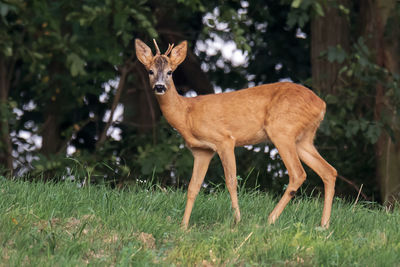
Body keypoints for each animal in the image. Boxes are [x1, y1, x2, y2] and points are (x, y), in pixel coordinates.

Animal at [135, 38, 338, 230]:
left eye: (170, 72)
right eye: (150, 71)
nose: (159, 87)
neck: (186, 114)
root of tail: (322, 104)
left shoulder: (224, 139)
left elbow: (231, 181)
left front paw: (237, 221)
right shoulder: (202, 151)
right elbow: (193, 187)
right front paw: (183, 226)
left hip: (282, 130)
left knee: (298, 173)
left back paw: (270, 220)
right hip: (303, 139)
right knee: (329, 171)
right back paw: (324, 225)